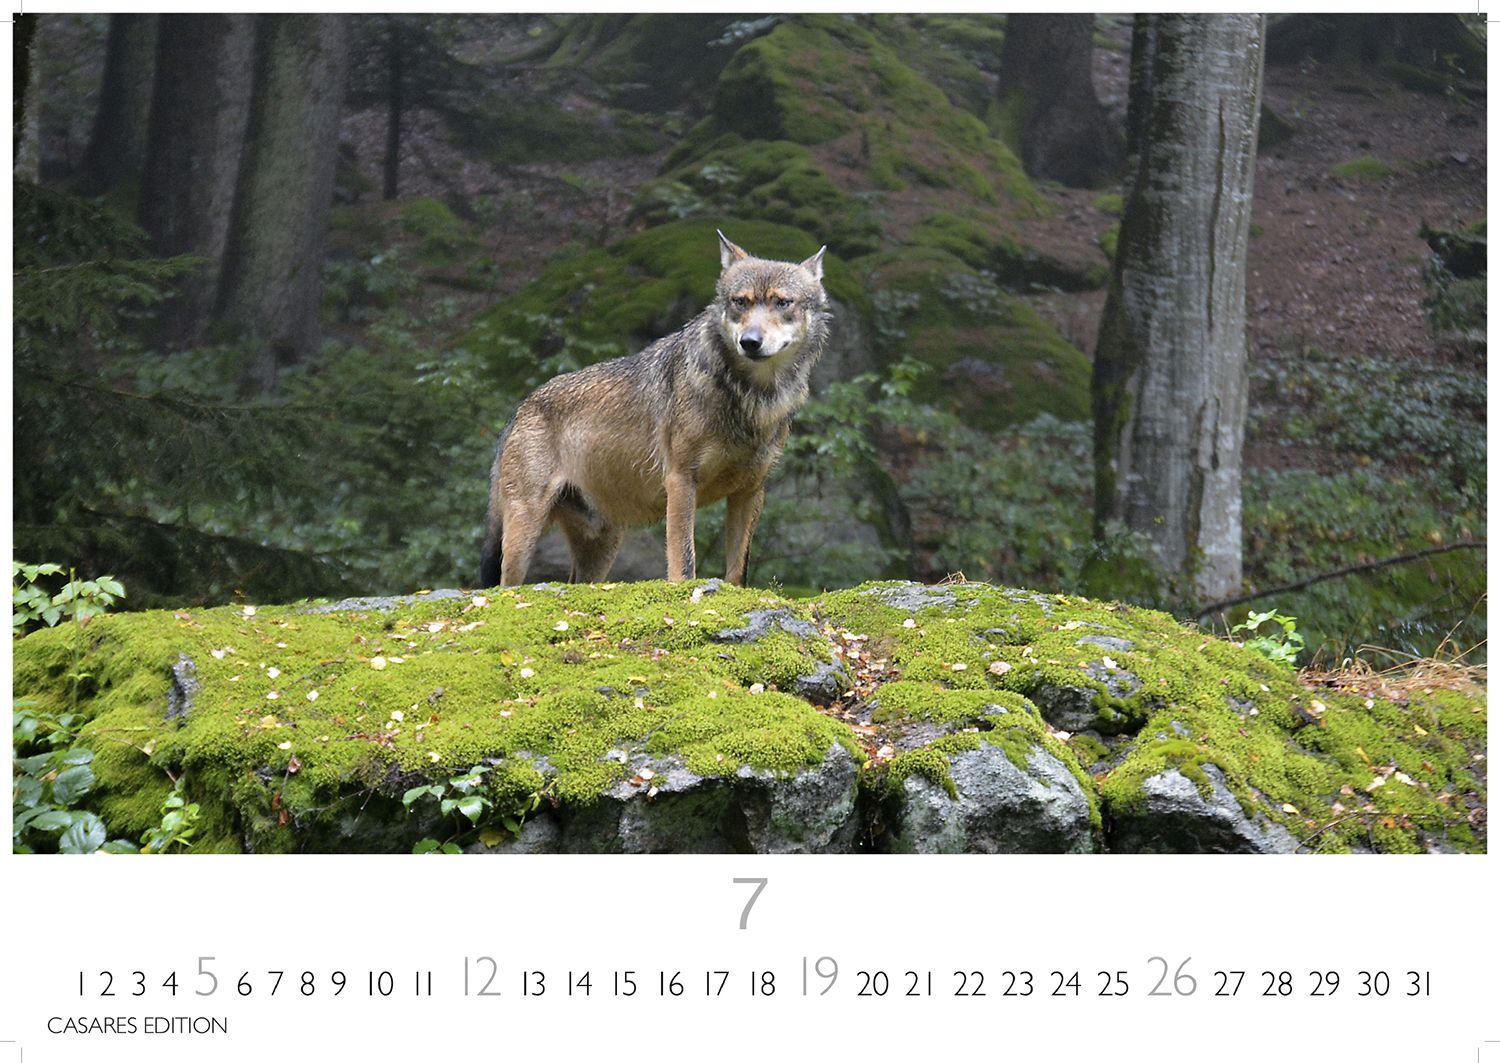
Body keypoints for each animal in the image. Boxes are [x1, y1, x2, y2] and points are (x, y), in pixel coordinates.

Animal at [477, 231, 831, 588]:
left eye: (782, 302)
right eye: (740, 302)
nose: (750, 341)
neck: (750, 397)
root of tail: (521, 408)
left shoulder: (750, 491)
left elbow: (737, 571)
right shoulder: (680, 480)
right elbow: (684, 559)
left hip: (602, 547)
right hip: (524, 533)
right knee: (505, 586)